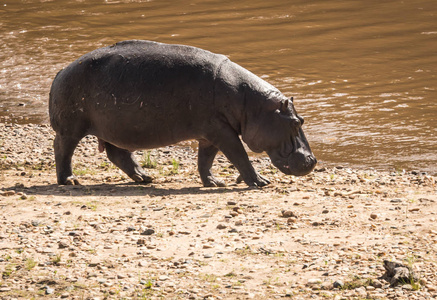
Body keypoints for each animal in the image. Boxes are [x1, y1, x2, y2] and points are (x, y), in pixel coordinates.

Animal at [48, 38, 316, 186]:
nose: (313, 160)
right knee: (62, 149)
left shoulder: (211, 134)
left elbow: (205, 160)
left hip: (114, 129)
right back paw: (70, 181)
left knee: (118, 154)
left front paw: (214, 182)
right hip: (71, 128)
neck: (251, 104)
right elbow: (239, 155)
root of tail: (61, 71)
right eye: (296, 122)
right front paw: (260, 182)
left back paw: (145, 178)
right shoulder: (222, 131)